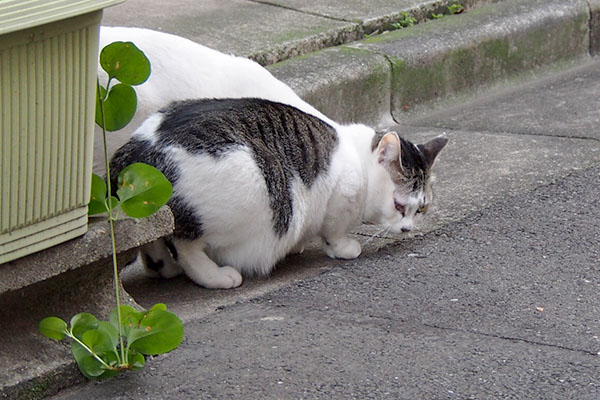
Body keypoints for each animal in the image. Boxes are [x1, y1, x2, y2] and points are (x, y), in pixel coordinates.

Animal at [110, 98, 446, 290]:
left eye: (421, 209)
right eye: (399, 205)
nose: (407, 229)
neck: (358, 159)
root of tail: (139, 151)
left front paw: (297, 246)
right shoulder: (339, 201)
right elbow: (334, 232)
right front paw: (344, 248)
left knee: (155, 239)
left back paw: (163, 267)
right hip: (247, 186)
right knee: (185, 243)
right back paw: (216, 276)